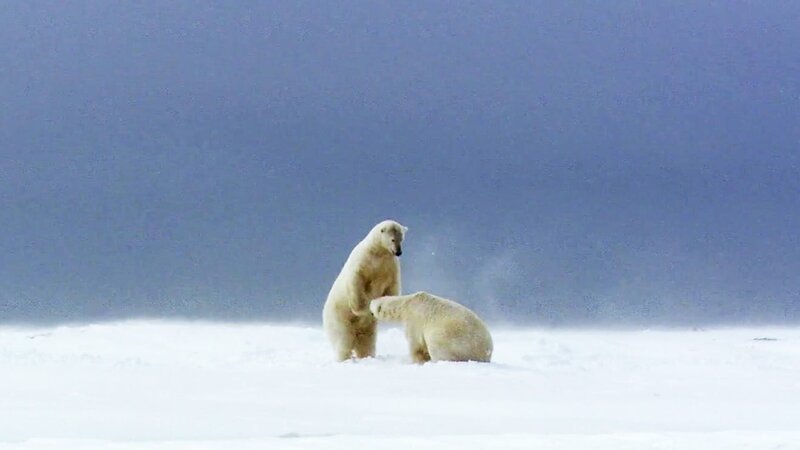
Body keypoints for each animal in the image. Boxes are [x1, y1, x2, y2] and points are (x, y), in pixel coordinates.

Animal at [322, 219, 407, 361]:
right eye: (393, 239)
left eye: (402, 239)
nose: (398, 252)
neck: (377, 252)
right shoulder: (363, 261)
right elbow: (356, 281)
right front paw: (361, 308)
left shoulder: (390, 266)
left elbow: (393, 286)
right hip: (338, 316)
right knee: (343, 339)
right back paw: (345, 358)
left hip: (368, 327)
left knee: (366, 341)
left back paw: (366, 356)